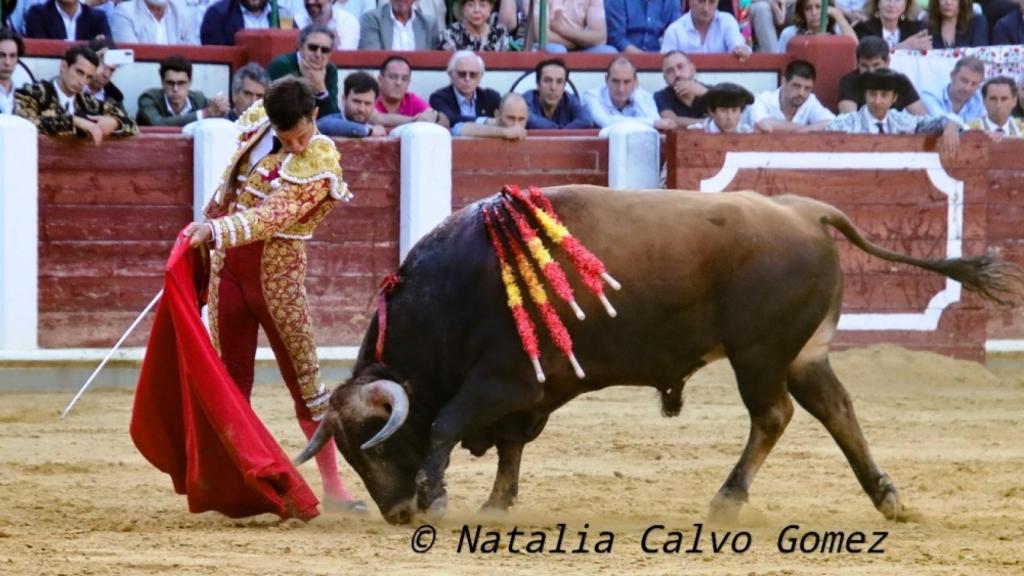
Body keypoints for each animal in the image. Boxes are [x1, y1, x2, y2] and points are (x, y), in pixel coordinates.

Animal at [294, 186, 1015, 522]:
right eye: (351, 456)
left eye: (378, 444)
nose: (397, 514)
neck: (454, 289)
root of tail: (806, 211)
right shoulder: (527, 396)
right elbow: (510, 446)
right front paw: (497, 504)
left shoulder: (505, 381)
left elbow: (447, 425)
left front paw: (439, 499)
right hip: (803, 353)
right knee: (835, 409)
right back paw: (886, 497)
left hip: (759, 355)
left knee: (774, 416)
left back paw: (727, 500)